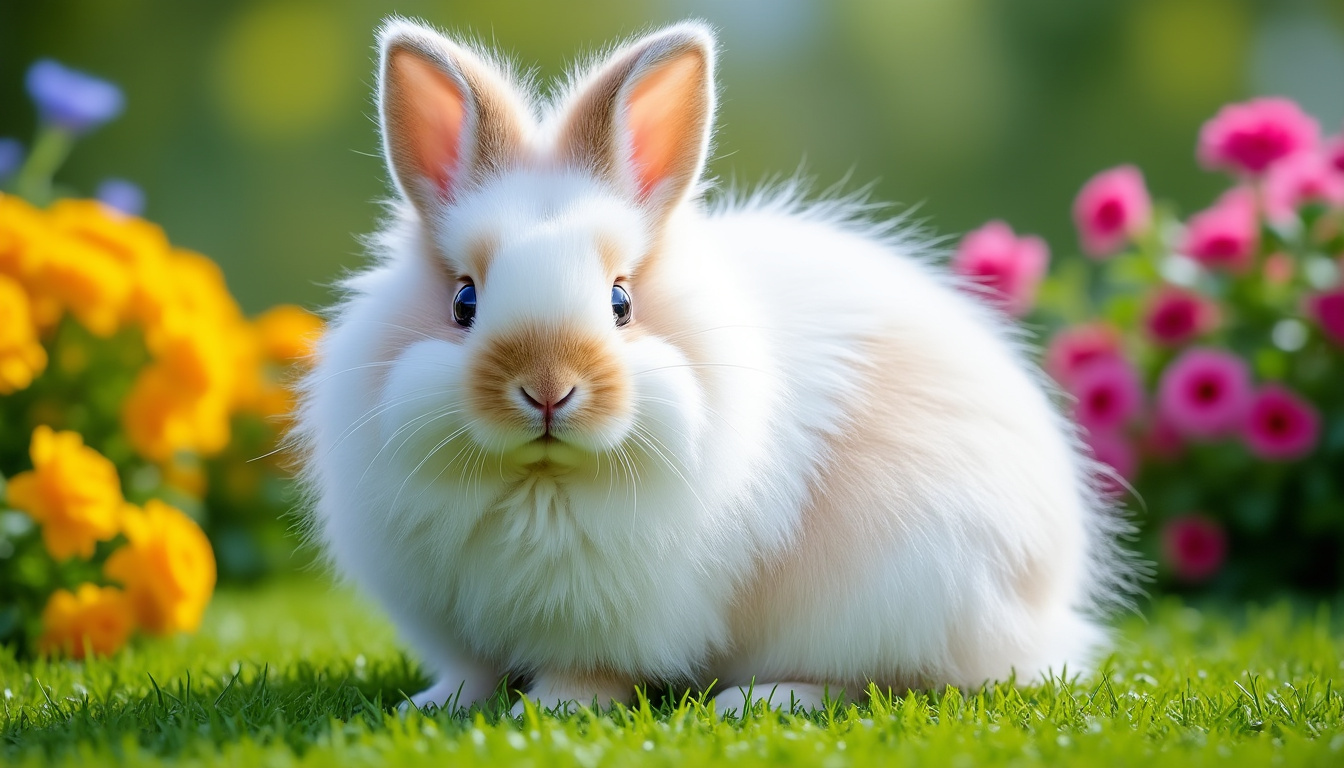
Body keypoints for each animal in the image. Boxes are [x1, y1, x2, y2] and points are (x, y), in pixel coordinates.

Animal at [294, 16, 1135, 715]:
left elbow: (584, 672)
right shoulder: (457, 619)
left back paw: (762, 700)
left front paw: (557, 710)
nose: (548, 390)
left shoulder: (609, 620)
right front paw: (431, 706)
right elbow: (470, 672)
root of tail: (1050, 611)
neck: (540, 482)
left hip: (897, 599)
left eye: (621, 301)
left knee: (888, 682)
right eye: (464, 300)